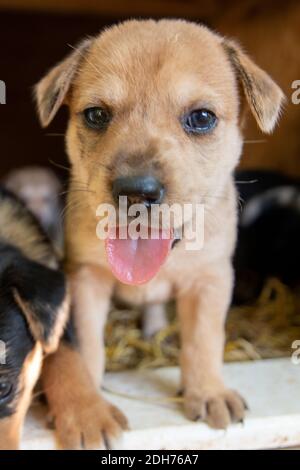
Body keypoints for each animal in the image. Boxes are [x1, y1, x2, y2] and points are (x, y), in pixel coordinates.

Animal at [35, 20, 284, 446]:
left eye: (201, 118)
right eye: (96, 115)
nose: (136, 191)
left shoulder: (211, 279)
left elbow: (203, 340)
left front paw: (209, 392)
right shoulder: (85, 279)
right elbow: (85, 346)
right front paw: (87, 410)